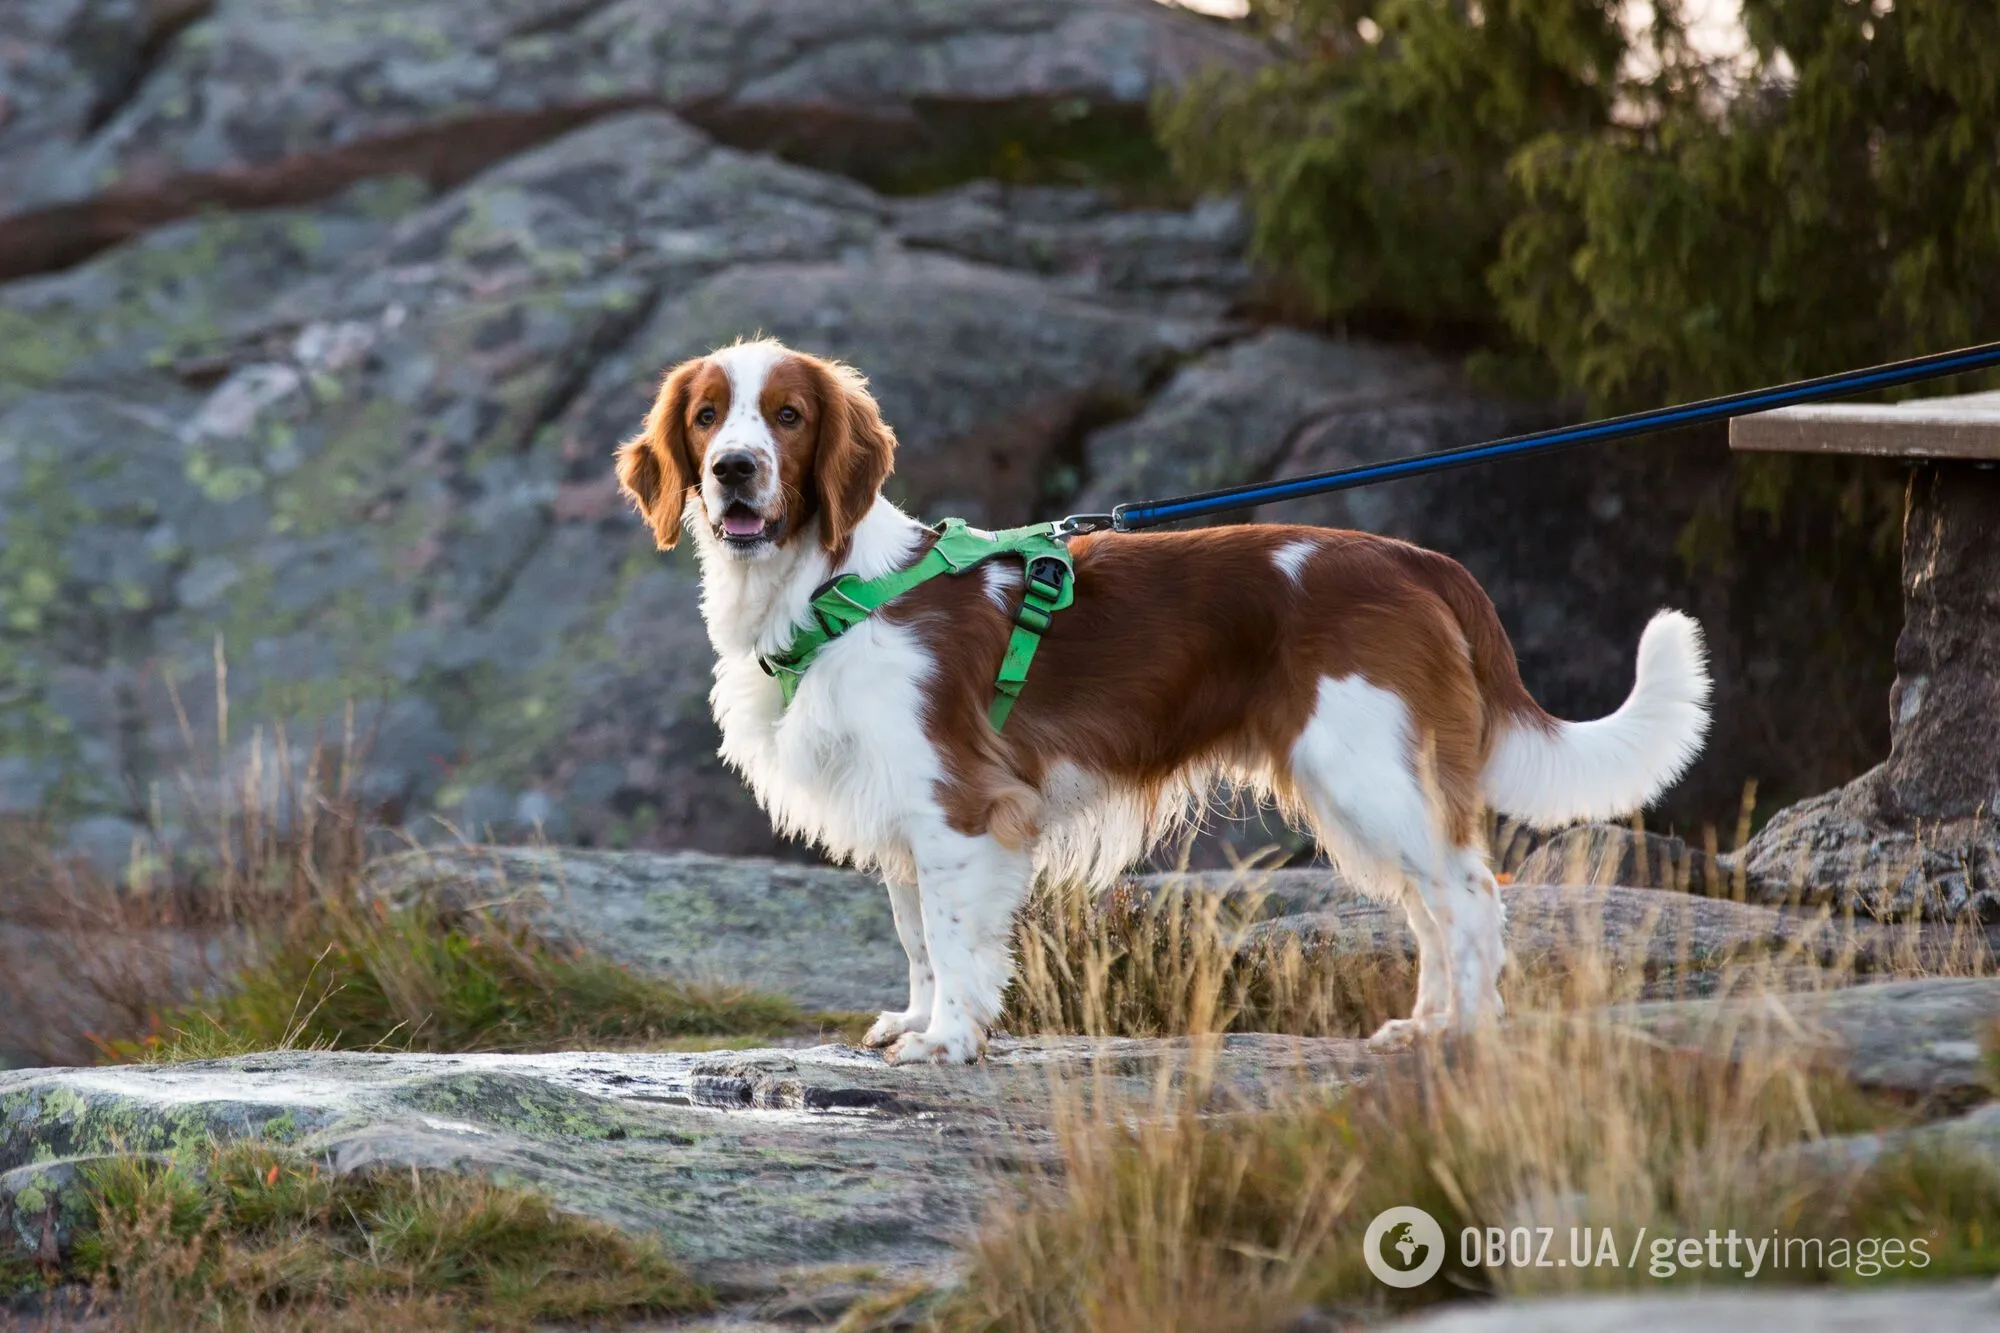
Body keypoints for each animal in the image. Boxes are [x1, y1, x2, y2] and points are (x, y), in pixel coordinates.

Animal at [616, 340, 1712, 1056]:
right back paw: (1427, 1023)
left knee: (1472, 895)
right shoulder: (897, 814)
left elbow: (958, 938)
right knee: (1435, 906)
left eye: (788, 416)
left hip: (1366, 773)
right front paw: (919, 1022)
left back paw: (1466, 1035)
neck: (827, 587)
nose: (733, 470)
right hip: (1366, 787)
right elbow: (918, 937)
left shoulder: (963, 806)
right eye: (706, 416)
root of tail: (1417, 560)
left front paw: (952, 1041)